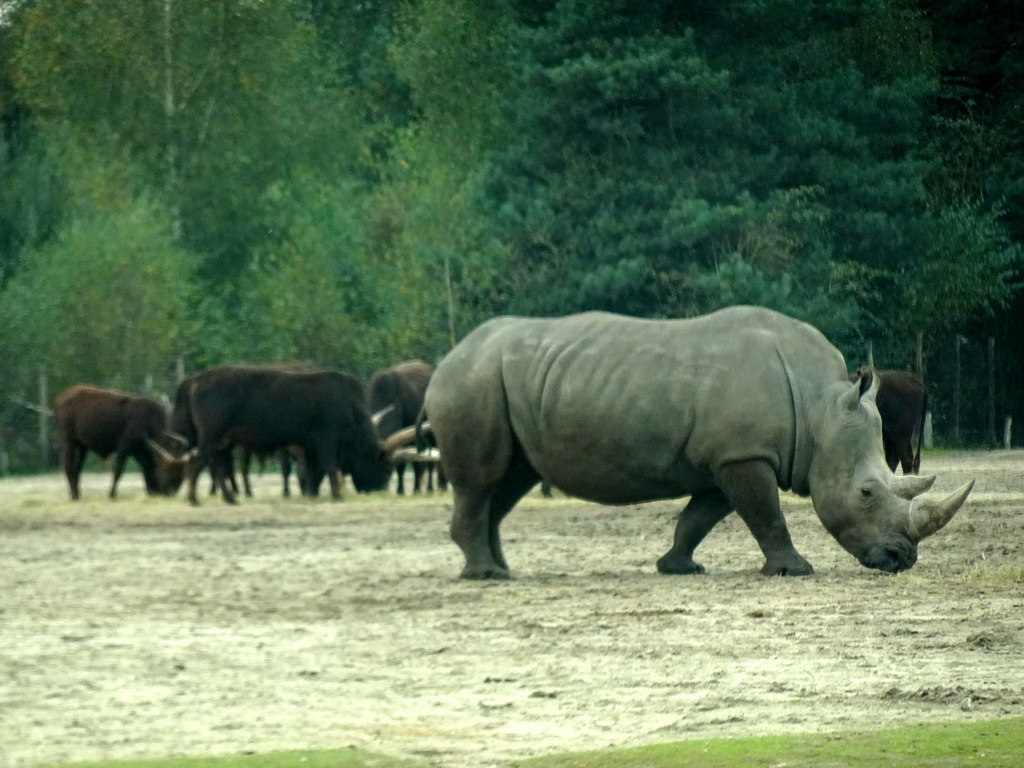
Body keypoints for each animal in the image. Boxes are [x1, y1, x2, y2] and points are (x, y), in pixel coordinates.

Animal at [54, 385, 187, 505]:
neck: (147, 420)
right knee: (68, 467)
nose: (170, 493)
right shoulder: (124, 448)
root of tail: (62, 397)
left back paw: (77, 494)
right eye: (167, 471)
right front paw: (112, 495)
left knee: (77, 469)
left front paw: (150, 491)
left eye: (182, 475)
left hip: (82, 447)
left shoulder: (139, 451)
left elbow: (146, 468)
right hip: (69, 443)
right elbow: (118, 471)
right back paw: (74, 496)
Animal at [169, 366, 405, 505]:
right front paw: (336, 495)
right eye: (386, 466)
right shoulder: (326, 440)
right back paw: (194, 499)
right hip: (211, 438)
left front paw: (311, 492)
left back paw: (230, 498)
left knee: (216, 466)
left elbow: (312, 470)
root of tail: (196, 379)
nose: (379, 490)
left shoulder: (309, 446)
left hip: (220, 441)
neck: (349, 404)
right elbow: (329, 466)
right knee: (198, 463)